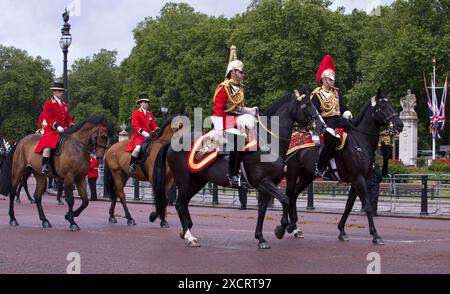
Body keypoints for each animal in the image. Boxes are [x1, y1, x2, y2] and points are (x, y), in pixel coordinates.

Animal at [152, 89, 326, 248]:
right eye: (307, 104)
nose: (322, 127)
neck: (270, 143)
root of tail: (173, 142)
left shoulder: (266, 185)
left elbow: (262, 210)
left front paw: (261, 238)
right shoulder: (264, 182)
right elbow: (285, 199)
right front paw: (281, 229)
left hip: (197, 181)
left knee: (183, 204)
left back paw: (185, 230)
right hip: (184, 180)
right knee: (180, 204)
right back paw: (190, 237)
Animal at [284, 90, 404, 246]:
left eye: (390, 104)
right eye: (382, 106)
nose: (400, 125)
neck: (360, 142)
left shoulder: (357, 180)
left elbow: (348, 206)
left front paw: (341, 231)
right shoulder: (359, 179)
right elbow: (367, 205)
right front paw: (375, 235)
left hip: (307, 176)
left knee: (293, 195)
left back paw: (294, 228)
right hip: (292, 173)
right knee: (288, 195)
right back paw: (289, 226)